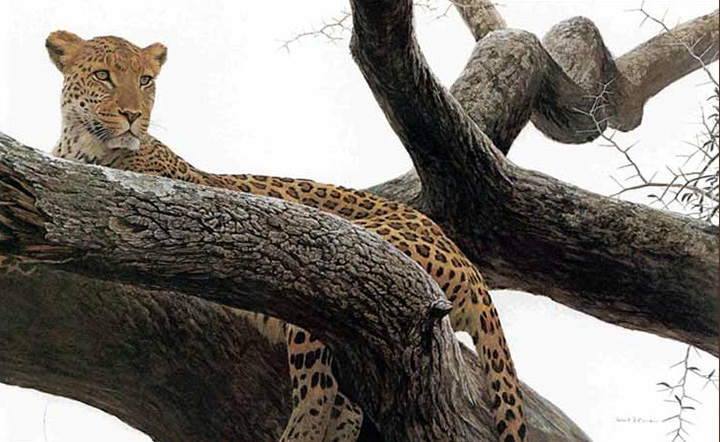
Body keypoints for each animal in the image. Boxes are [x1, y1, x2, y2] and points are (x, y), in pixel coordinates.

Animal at [45, 30, 526, 442]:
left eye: (146, 81)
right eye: (104, 76)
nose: (133, 116)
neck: (79, 144)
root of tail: (462, 260)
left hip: (329, 285)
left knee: (323, 396)